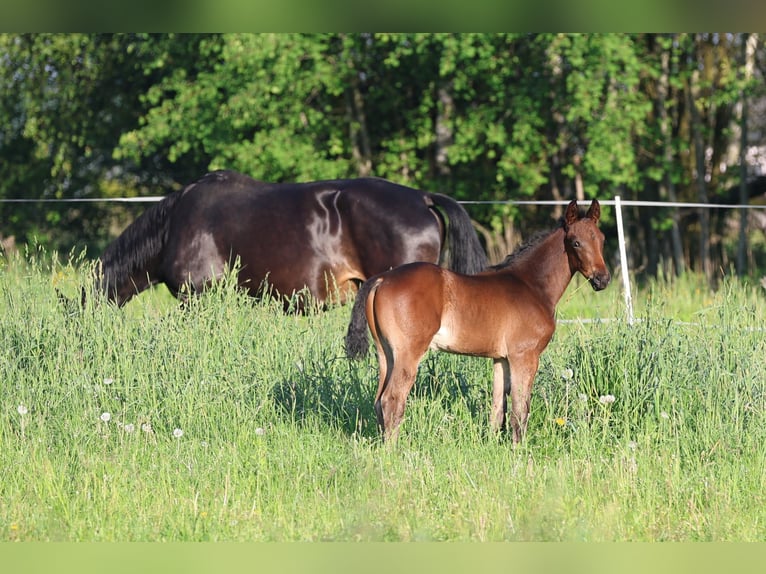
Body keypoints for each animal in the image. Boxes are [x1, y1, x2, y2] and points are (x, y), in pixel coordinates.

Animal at [344, 199, 610, 443]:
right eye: (576, 242)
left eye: (602, 239)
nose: (602, 279)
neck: (531, 285)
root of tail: (382, 279)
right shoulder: (524, 356)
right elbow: (520, 409)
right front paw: (520, 452)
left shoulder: (501, 359)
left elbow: (498, 410)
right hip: (408, 353)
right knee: (392, 400)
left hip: (386, 353)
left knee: (379, 400)